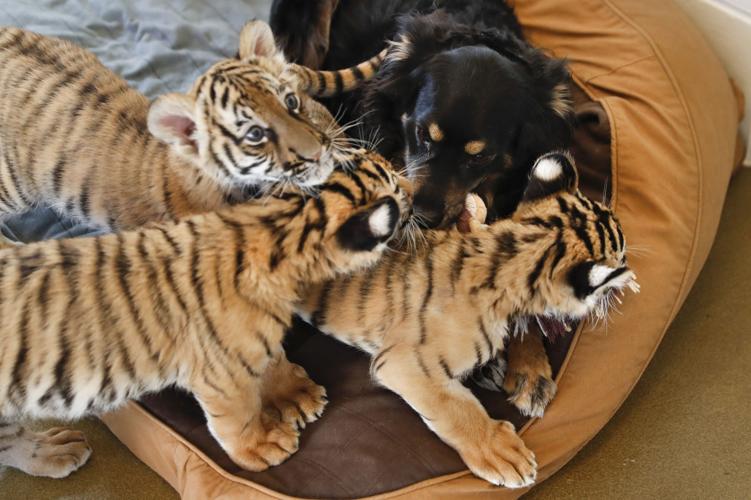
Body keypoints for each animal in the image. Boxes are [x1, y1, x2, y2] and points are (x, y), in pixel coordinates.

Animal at [0, 151, 412, 479]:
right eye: (394, 186)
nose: (413, 186)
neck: (279, 225)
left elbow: (272, 358)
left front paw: (294, 394)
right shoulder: (220, 373)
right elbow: (237, 417)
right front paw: (261, 447)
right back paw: (55, 452)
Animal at [297, 152, 640, 488]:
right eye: (621, 253)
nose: (629, 269)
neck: (507, 255)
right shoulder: (403, 364)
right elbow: (455, 409)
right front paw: (502, 454)